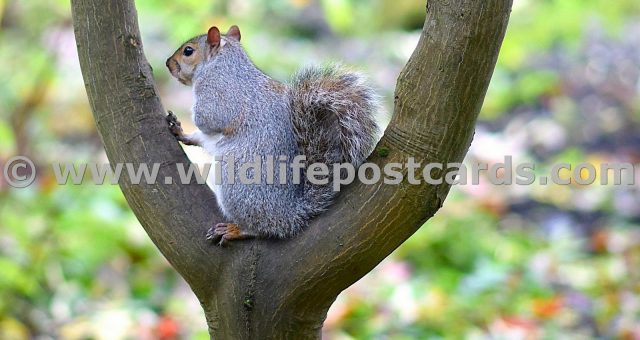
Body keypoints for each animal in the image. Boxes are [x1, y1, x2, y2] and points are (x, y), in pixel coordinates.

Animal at [162, 25, 380, 244]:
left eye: (188, 51)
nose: (168, 63)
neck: (224, 62)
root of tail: (288, 216)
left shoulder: (218, 95)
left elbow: (208, 121)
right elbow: (203, 137)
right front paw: (181, 132)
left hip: (235, 182)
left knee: (261, 229)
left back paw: (236, 230)